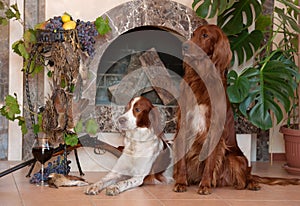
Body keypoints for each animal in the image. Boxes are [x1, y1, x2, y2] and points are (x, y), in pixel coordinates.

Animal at [172, 24, 300, 195]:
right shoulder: (184, 123)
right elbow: (181, 161)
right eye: (193, 34)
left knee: (247, 177)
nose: (184, 46)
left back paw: (251, 184)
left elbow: (210, 162)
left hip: (236, 158)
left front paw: (205, 185)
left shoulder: (214, 130)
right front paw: (180, 182)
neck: (202, 78)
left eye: (205, 35)